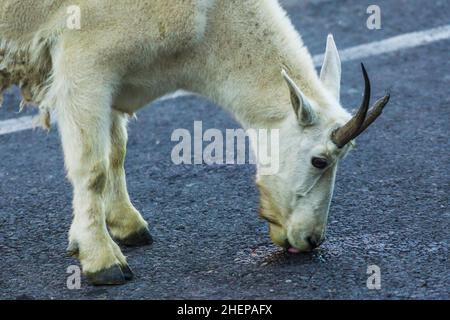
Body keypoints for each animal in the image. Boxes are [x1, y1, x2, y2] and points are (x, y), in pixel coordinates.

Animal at [0, 0, 388, 284]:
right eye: (319, 160)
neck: (209, 23)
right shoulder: (85, 64)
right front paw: (102, 260)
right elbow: (92, 168)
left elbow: (116, 152)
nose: (311, 241)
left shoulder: (114, 81)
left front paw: (126, 226)